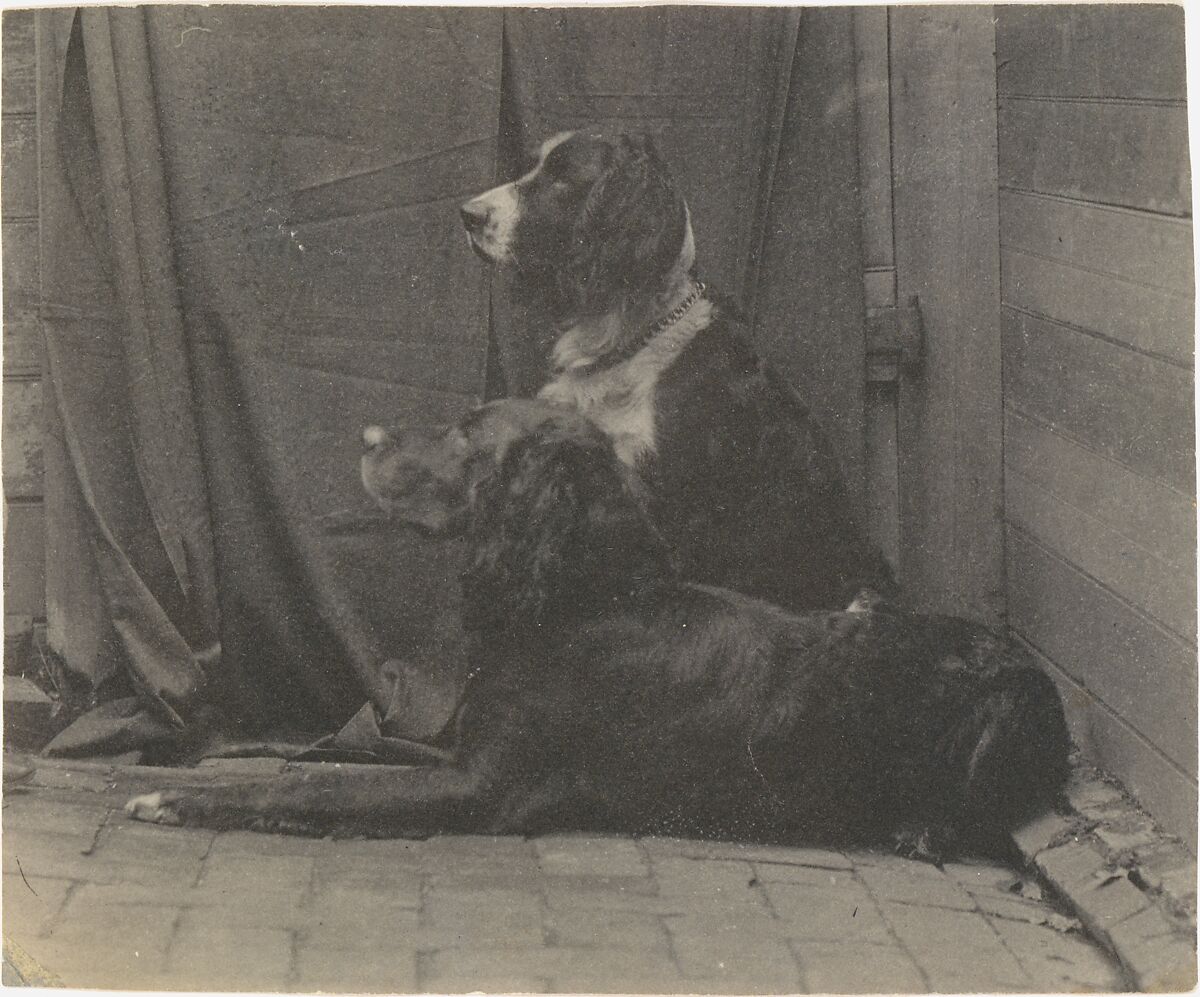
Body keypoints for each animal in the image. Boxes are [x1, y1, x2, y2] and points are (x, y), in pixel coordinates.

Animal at [129, 400, 1070, 863]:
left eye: (467, 432)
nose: (364, 435)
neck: (583, 598)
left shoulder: (487, 787)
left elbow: (316, 787)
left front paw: (179, 797)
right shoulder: (463, 752)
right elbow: (348, 757)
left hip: (1001, 711)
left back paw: (921, 829)